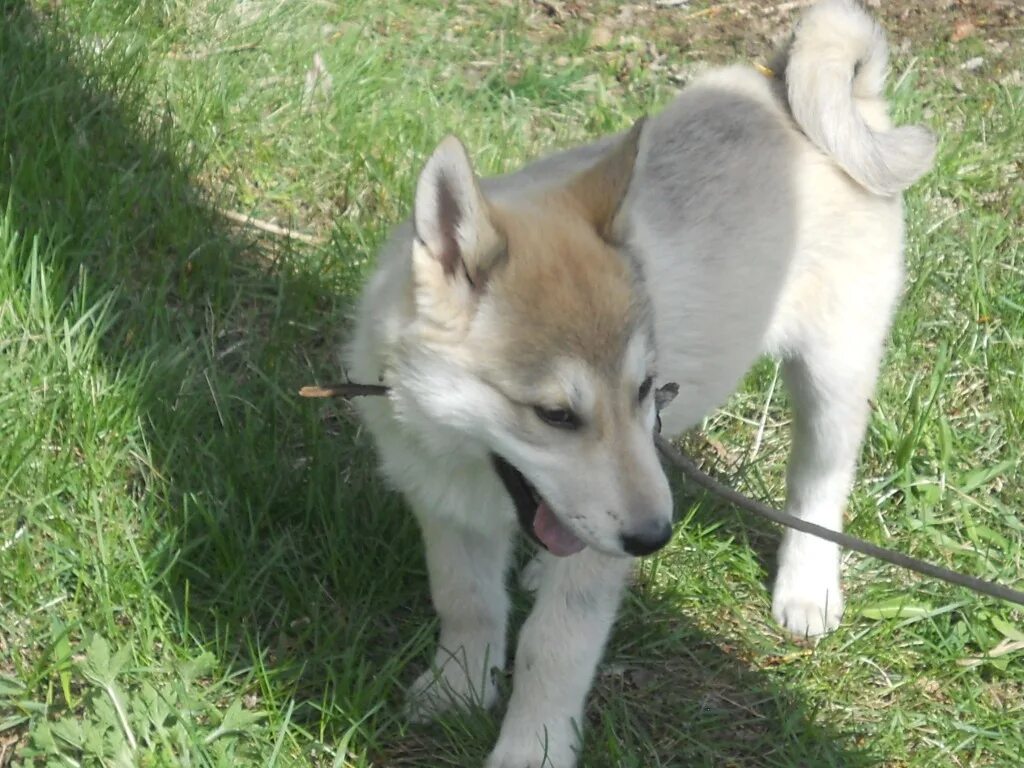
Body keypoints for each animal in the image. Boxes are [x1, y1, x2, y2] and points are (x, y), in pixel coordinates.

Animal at [344, 3, 937, 765]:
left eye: (644, 388)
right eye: (555, 414)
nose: (657, 537)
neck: (467, 457)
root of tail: (789, 88)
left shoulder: (593, 557)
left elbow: (554, 647)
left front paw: (532, 746)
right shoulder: (446, 510)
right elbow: (466, 602)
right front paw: (458, 689)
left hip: (834, 374)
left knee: (820, 482)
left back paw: (808, 588)